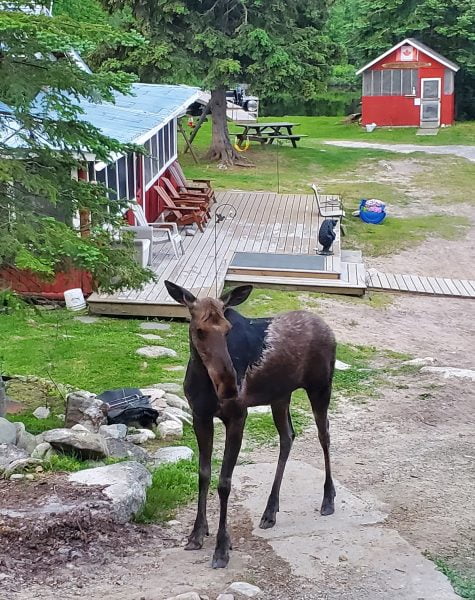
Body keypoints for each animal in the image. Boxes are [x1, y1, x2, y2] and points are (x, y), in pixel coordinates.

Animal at [165, 280, 336, 568]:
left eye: (227, 329)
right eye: (199, 330)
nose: (230, 387)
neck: (204, 384)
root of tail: (330, 330)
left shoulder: (237, 416)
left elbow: (224, 482)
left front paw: (222, 548)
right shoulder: (200, 415)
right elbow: (203, 474)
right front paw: (197, 534)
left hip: (320, 387)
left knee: (324, 436)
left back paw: (327, 499)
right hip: (280, 395)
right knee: (288, 436)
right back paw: (270, 510)